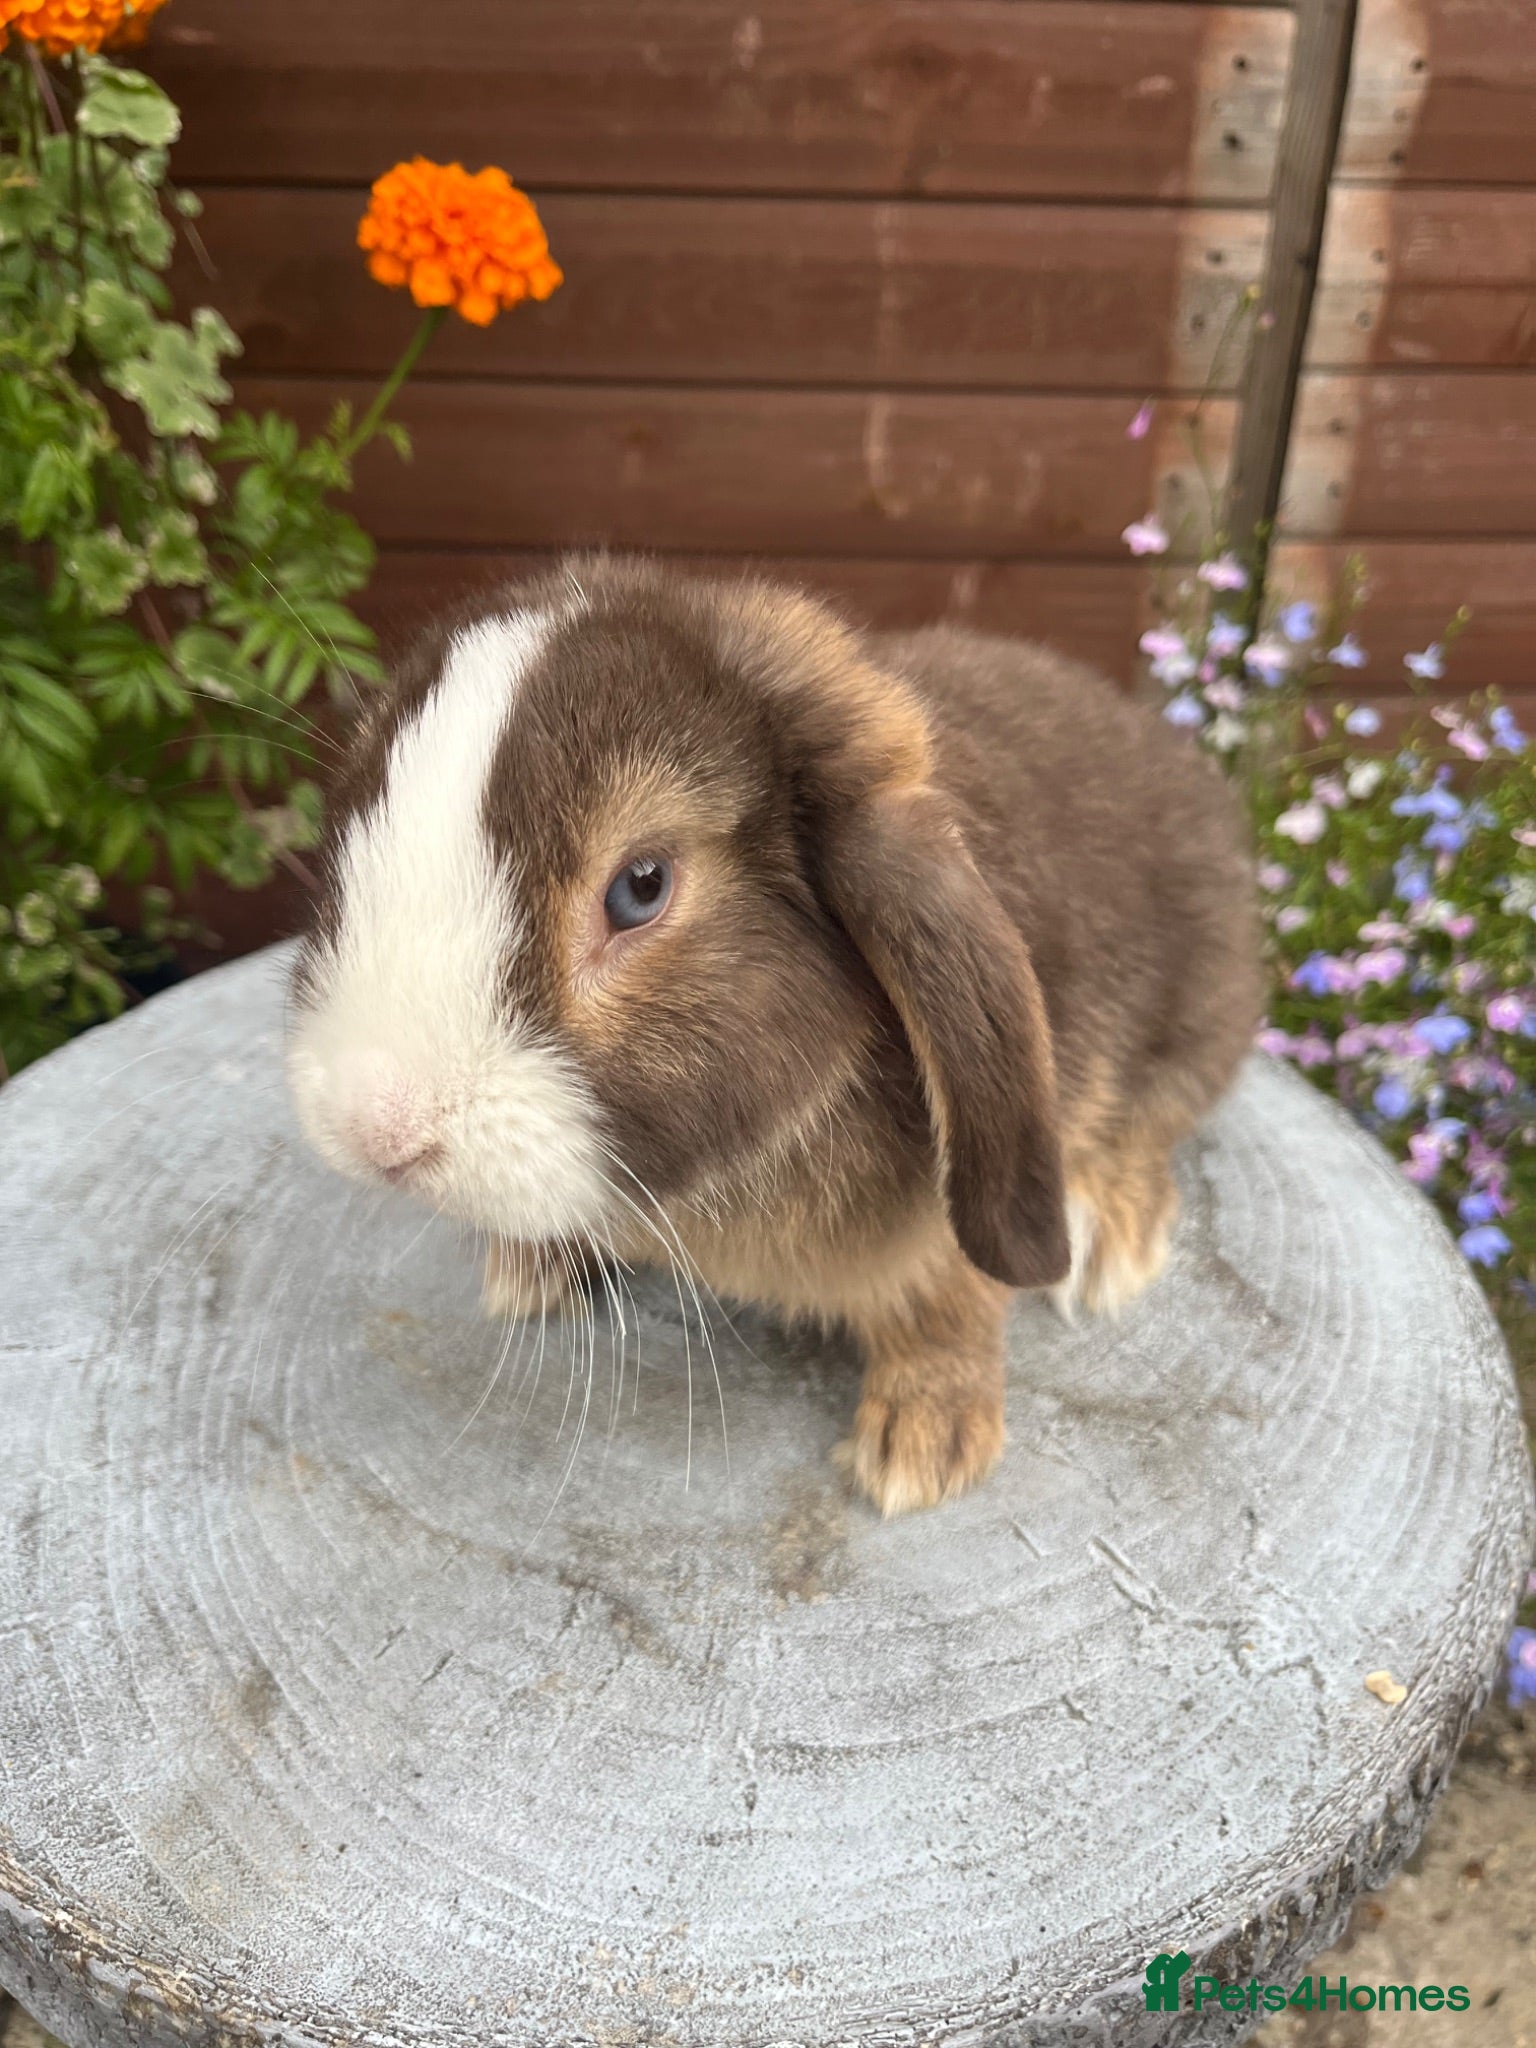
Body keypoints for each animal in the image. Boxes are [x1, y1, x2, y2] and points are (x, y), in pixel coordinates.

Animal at [287, 555, 1261, 1515]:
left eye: (641, 886)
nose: (376, 1131)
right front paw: (529, 1270)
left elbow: (951, 1294)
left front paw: (925, 1445)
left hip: (1201, 1013)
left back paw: (1110, 1240)